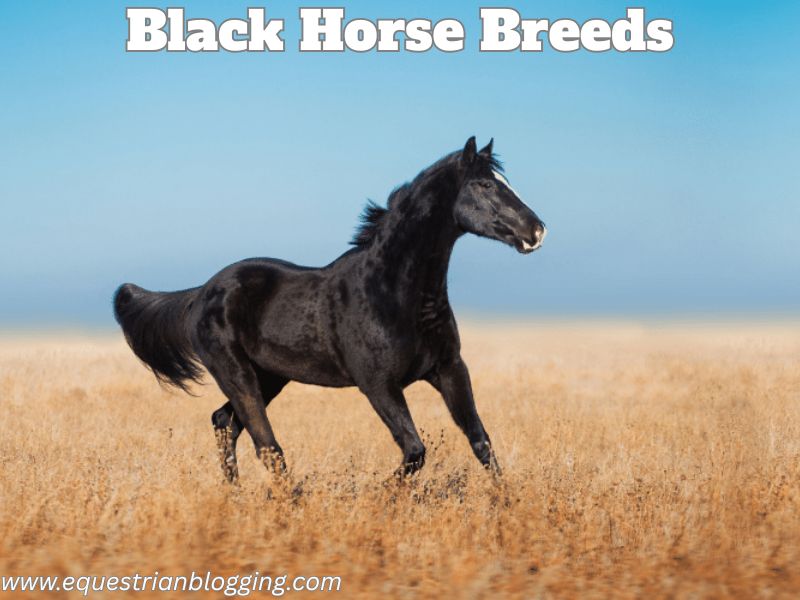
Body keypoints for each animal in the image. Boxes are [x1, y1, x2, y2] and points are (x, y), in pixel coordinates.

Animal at [113, 137, 547, 483]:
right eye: (485, 184)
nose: (536, 231)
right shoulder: (378, 384)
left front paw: (504, 506)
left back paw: (234, 496)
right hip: (236, 374)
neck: (399, 293)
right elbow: (415, 451)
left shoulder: (449, 369)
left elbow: (480, 442)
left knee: (225, 424)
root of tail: (201, 292)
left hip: (269, 376)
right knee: (267, 445)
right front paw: (380, 500)